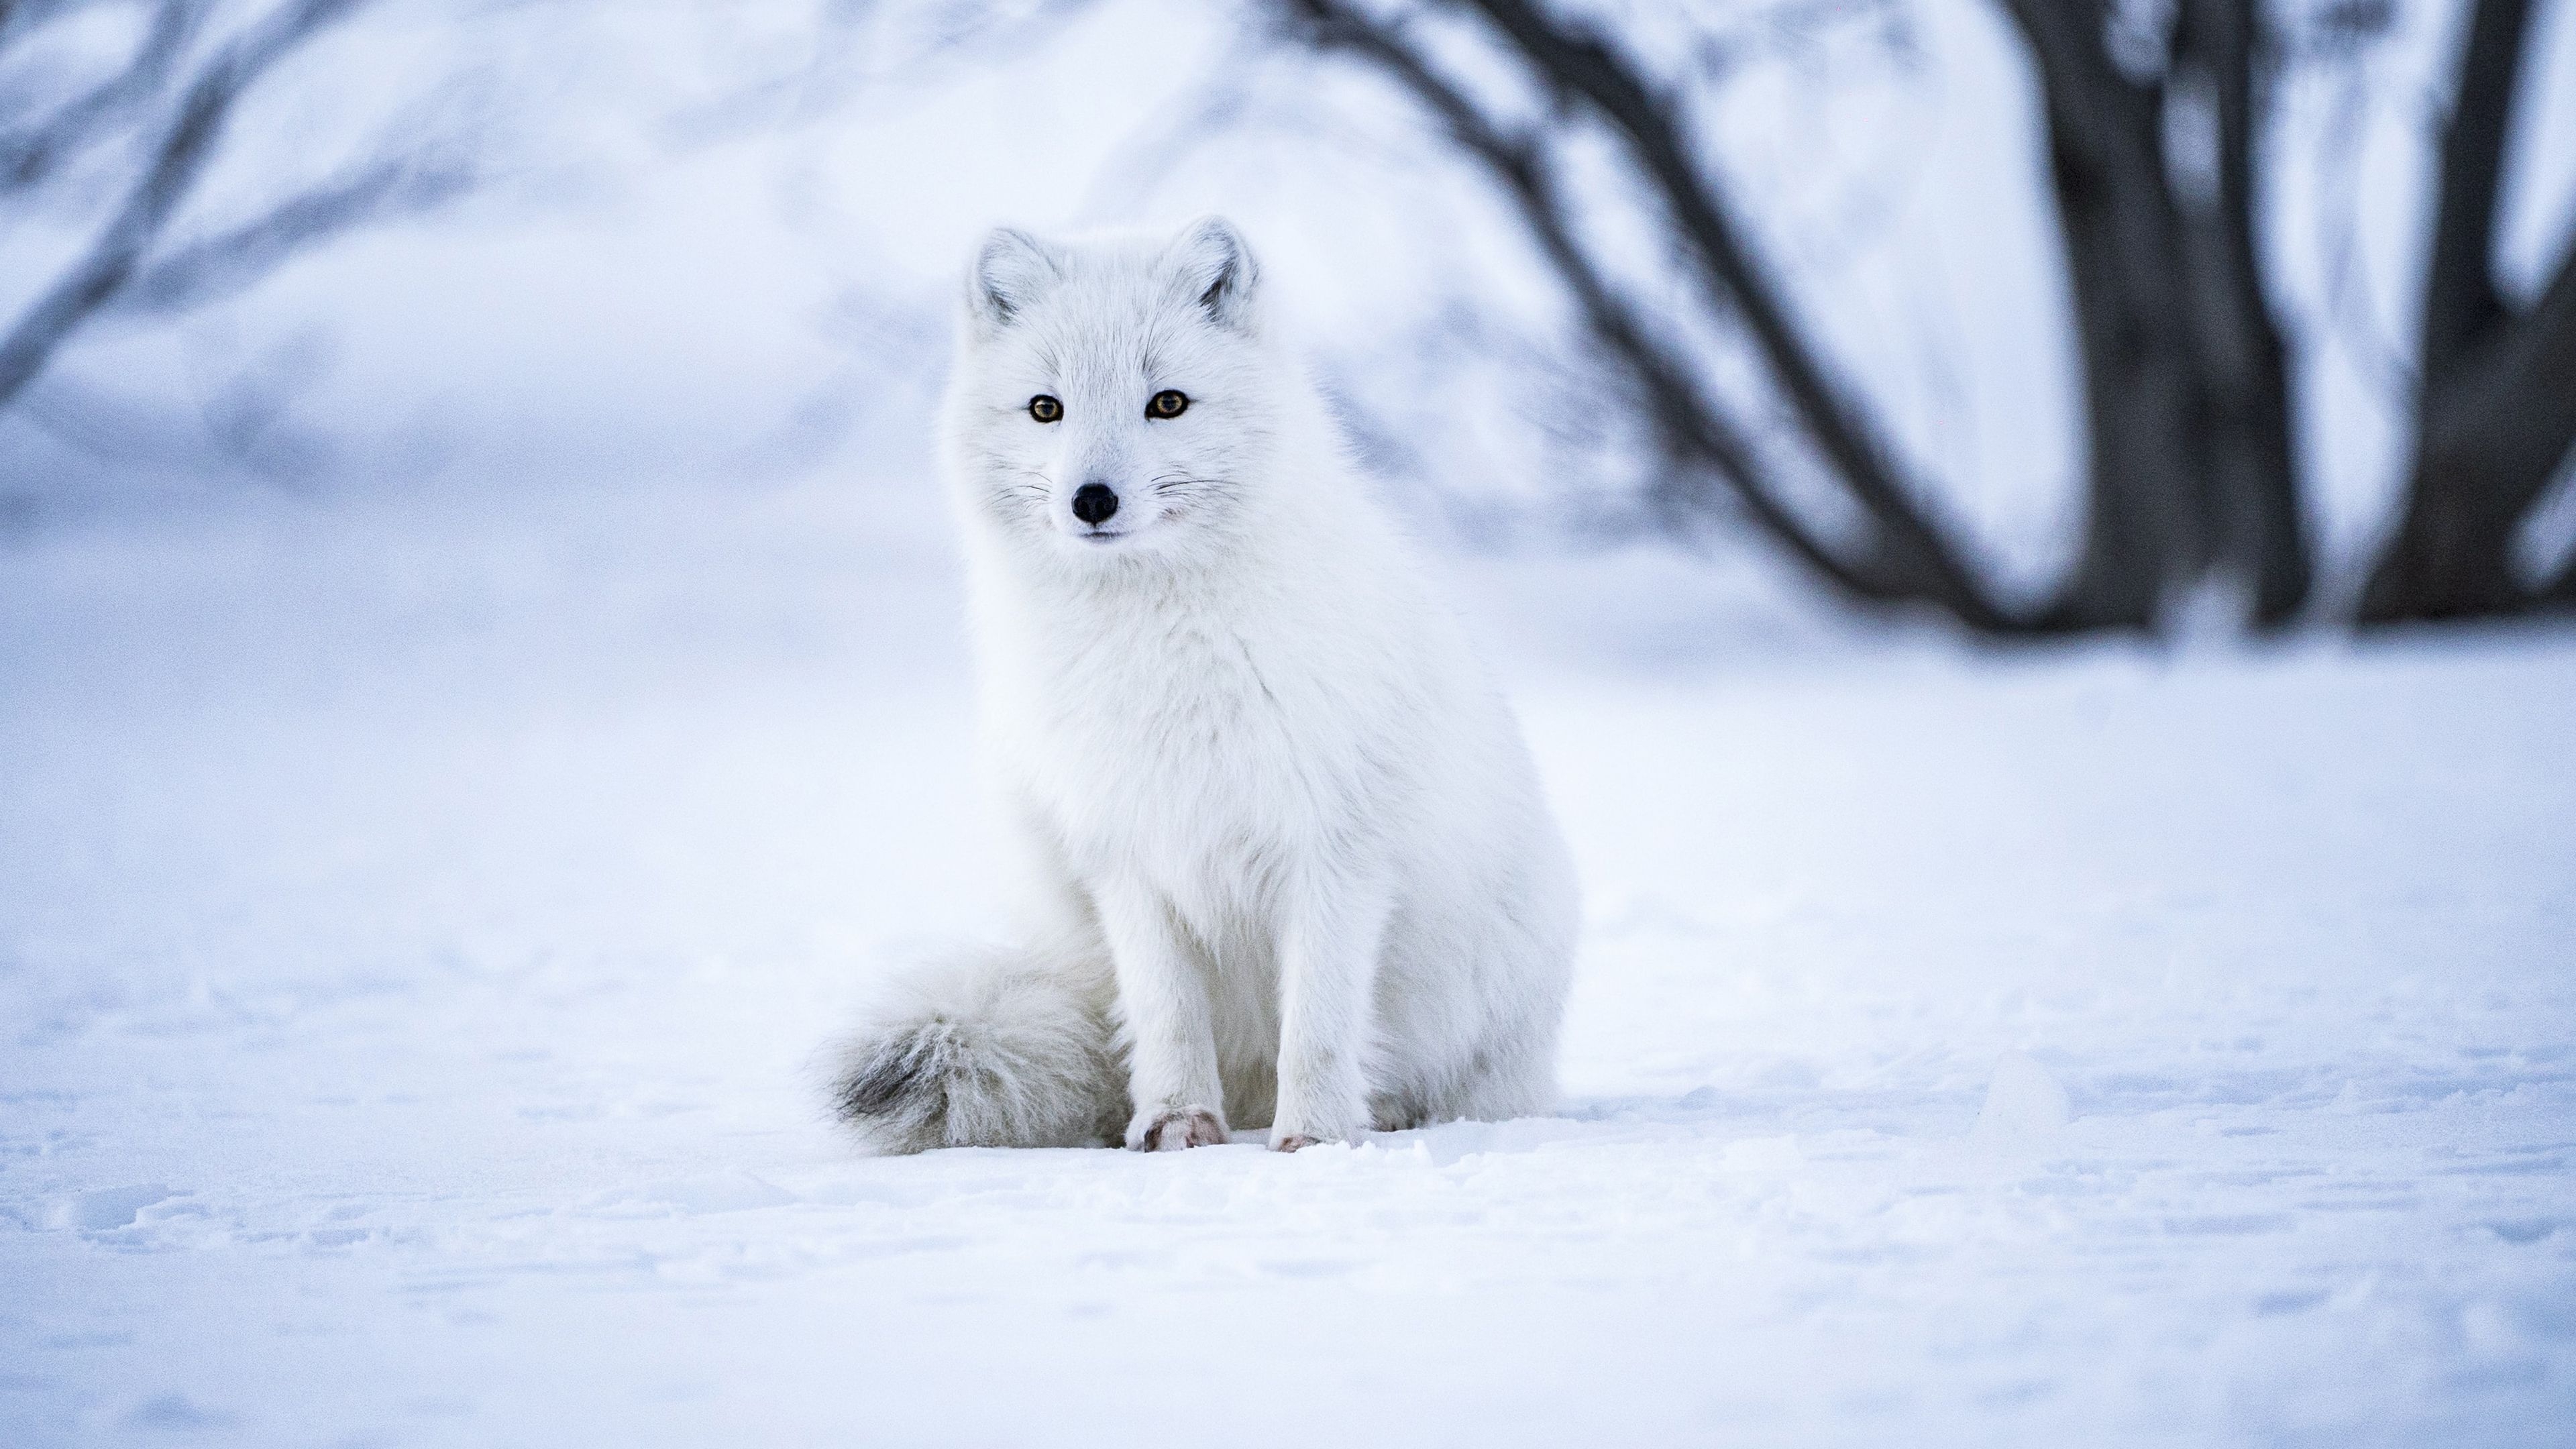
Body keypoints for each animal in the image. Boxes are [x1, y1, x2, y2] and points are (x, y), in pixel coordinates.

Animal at [835, 214, 1576, 1150]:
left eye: (1167, 403)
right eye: (1046, 407)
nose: (1092, 499)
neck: (1161, 650)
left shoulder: (1334, 850)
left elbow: (1321, 1022)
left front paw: (1316, 1139)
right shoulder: (1126, 854)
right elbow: (1166, 1012)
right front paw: (1176, 1123)